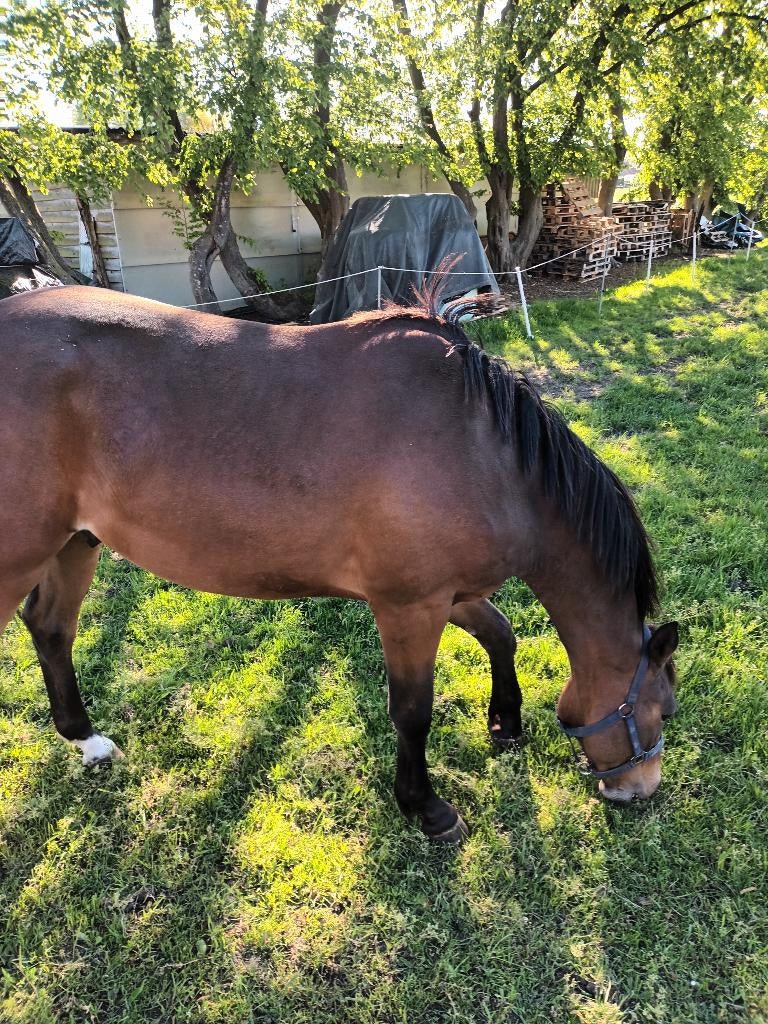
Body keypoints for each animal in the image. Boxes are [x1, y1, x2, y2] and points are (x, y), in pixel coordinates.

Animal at [0, 281, 678, 842]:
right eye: (662, 709)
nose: (638, 791)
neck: (484, 452)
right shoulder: (408, 605)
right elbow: (412, 712)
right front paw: (426, 808)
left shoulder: (449, 593)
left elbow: (501, 634)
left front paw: (505, 723)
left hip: (75, 543)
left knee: (51, 628)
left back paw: (87, 740)